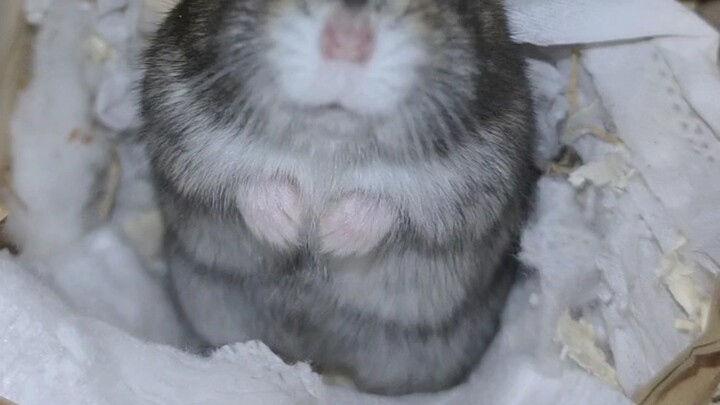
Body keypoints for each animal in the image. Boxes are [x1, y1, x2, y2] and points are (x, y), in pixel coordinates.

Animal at [140, 0, 537, 395]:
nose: (347, 42)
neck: (330, 144)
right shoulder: (185, 131)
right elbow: (246, 183)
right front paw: (292, 230)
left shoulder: (470, 185)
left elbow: (387, 206)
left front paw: (327, 238)